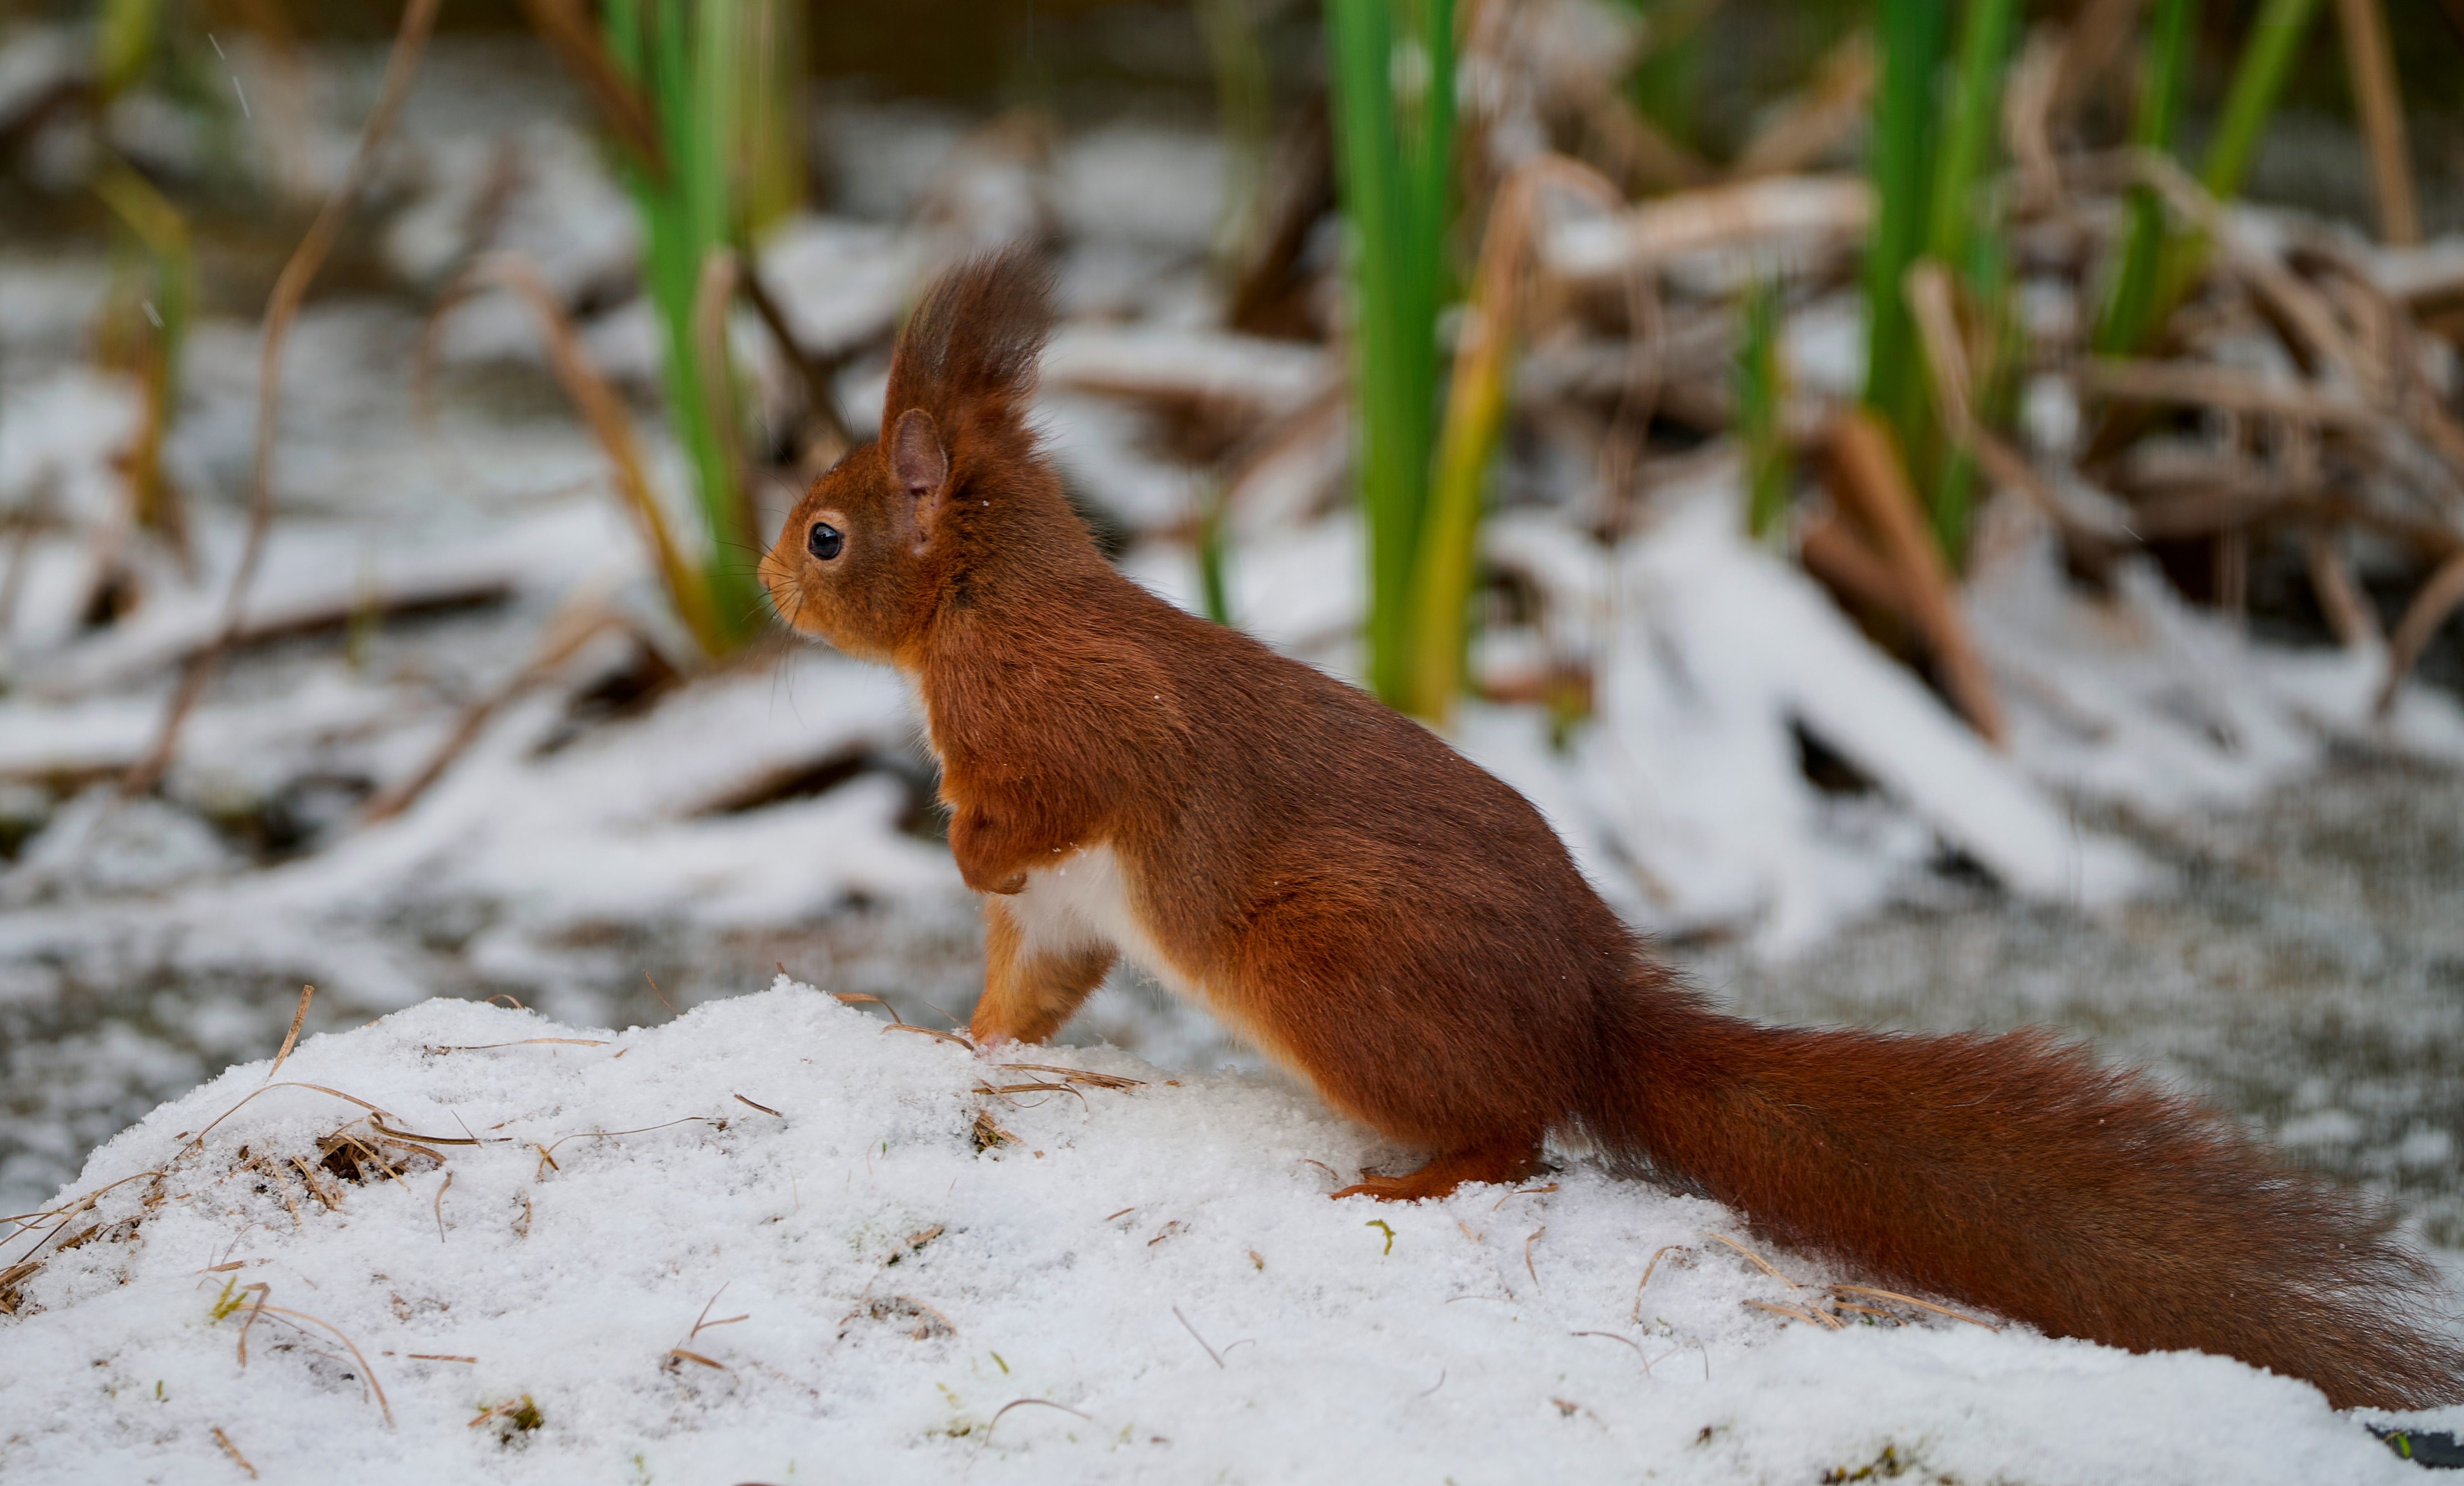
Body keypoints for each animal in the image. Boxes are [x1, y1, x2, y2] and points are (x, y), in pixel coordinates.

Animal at [758, 250, 2454, 1409]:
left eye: (827, 533)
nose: (768, 583)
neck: (983, 603)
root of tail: (1587, 1016)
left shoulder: (1083, 719)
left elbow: (1060, 799)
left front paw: (955, 838)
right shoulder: (1059, 920)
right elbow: (1016, 997)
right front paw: (929, 1035)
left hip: (1328, 968)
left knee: (1514, 1140)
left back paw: (1408, 1182)